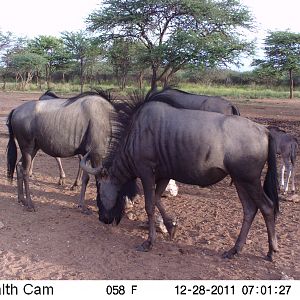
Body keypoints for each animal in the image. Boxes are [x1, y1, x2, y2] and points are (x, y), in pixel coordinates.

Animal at [81, 95, 278, 260]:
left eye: (98, 187)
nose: (102, 219)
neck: (135, 135)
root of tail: (264, 131)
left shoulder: (146, 171)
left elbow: (149, 205)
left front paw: (149, 242)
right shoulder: (163, 175)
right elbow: (157, 200)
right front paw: (171, 226)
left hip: (249, 180)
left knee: (267, 207)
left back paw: (271, 251)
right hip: (239, 180)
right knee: (249, 209)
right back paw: (234, 250)